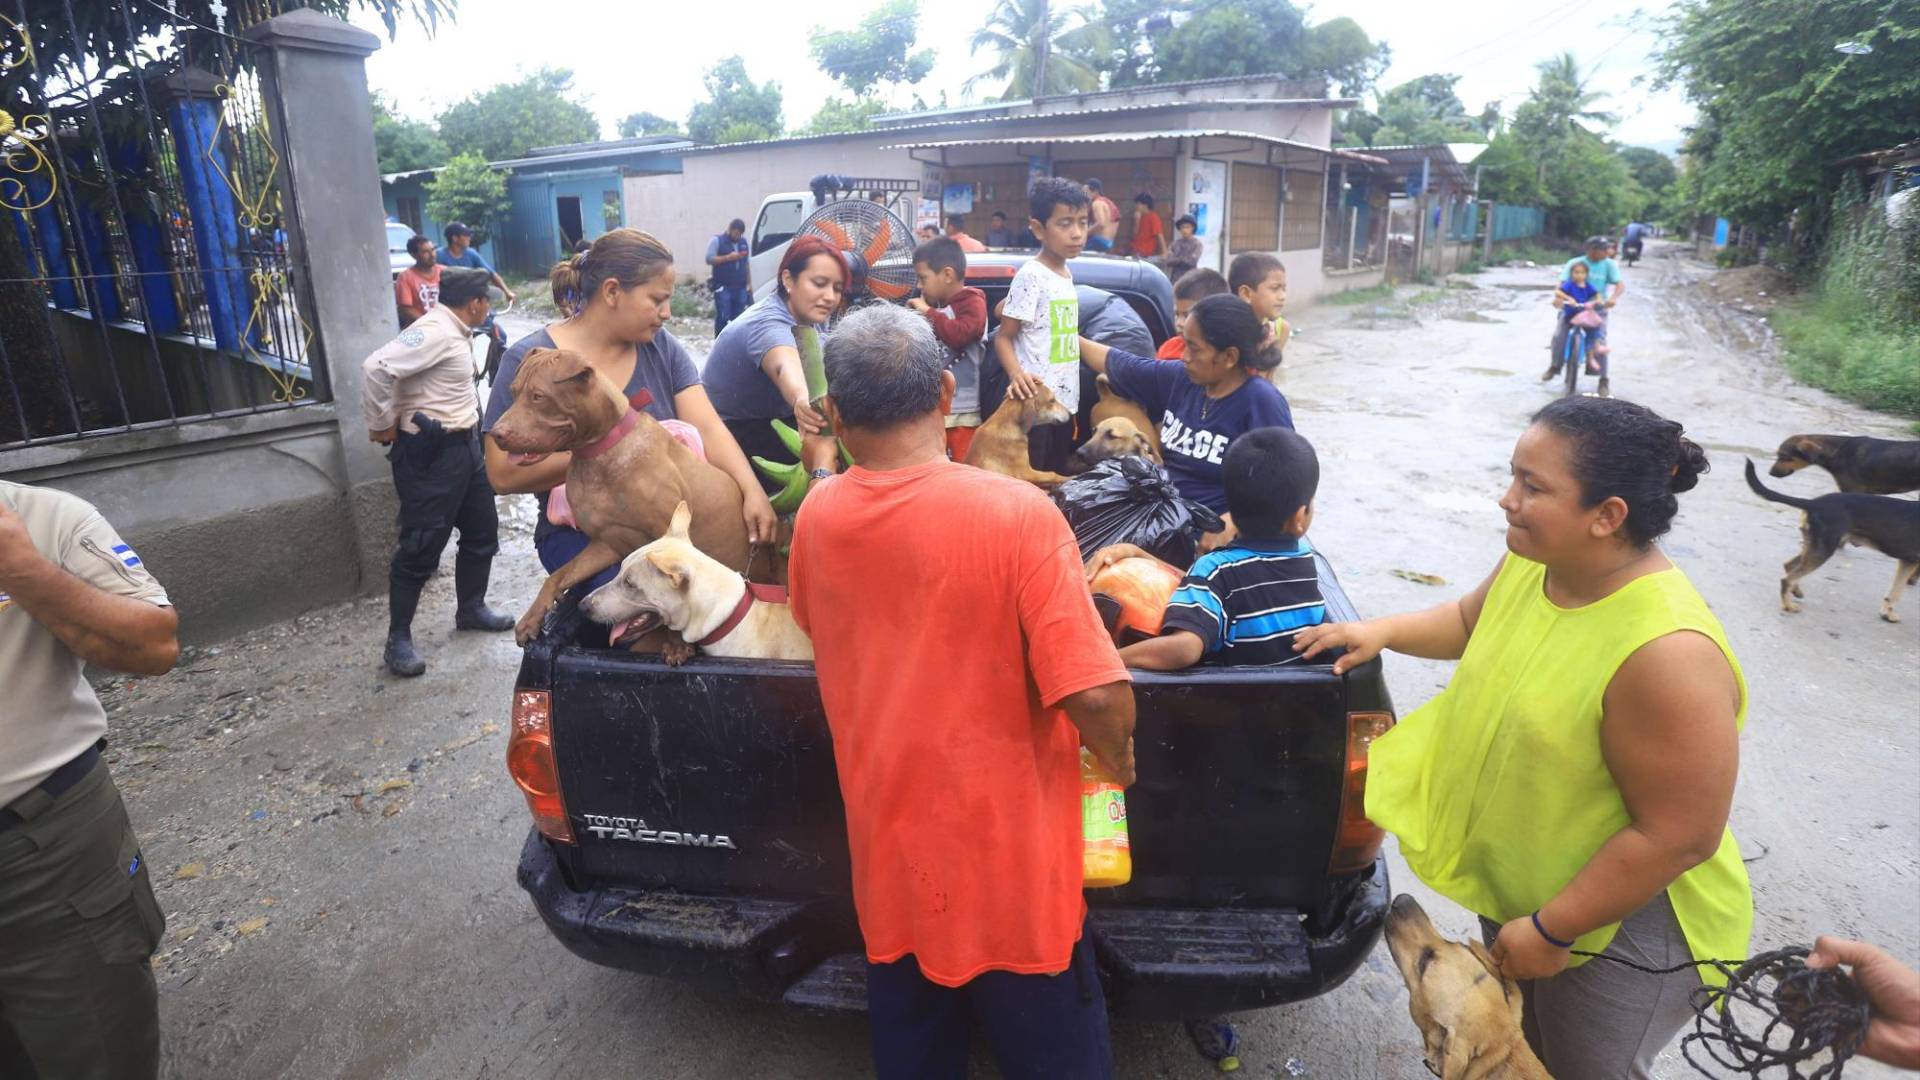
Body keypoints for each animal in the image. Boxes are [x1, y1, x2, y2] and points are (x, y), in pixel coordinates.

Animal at [491, 349, 752, 641]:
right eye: (513, 392)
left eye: (538, 396)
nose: (495, 433)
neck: (600, 454)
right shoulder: (606, 544)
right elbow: (559, 575)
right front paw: (532, 617)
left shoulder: (668, 536)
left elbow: (674, 601)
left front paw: (676, 644)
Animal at [1751, 455, 1912, 622]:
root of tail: (1813, 502)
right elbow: (1897, 591)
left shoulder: (1908, 561)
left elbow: (1895, 591)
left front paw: (1887, 613)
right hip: (1822, 551)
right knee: (1787, 579)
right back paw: (1788, 605)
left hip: (1814, 546)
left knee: (1789, 566)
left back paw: (1796, 592)